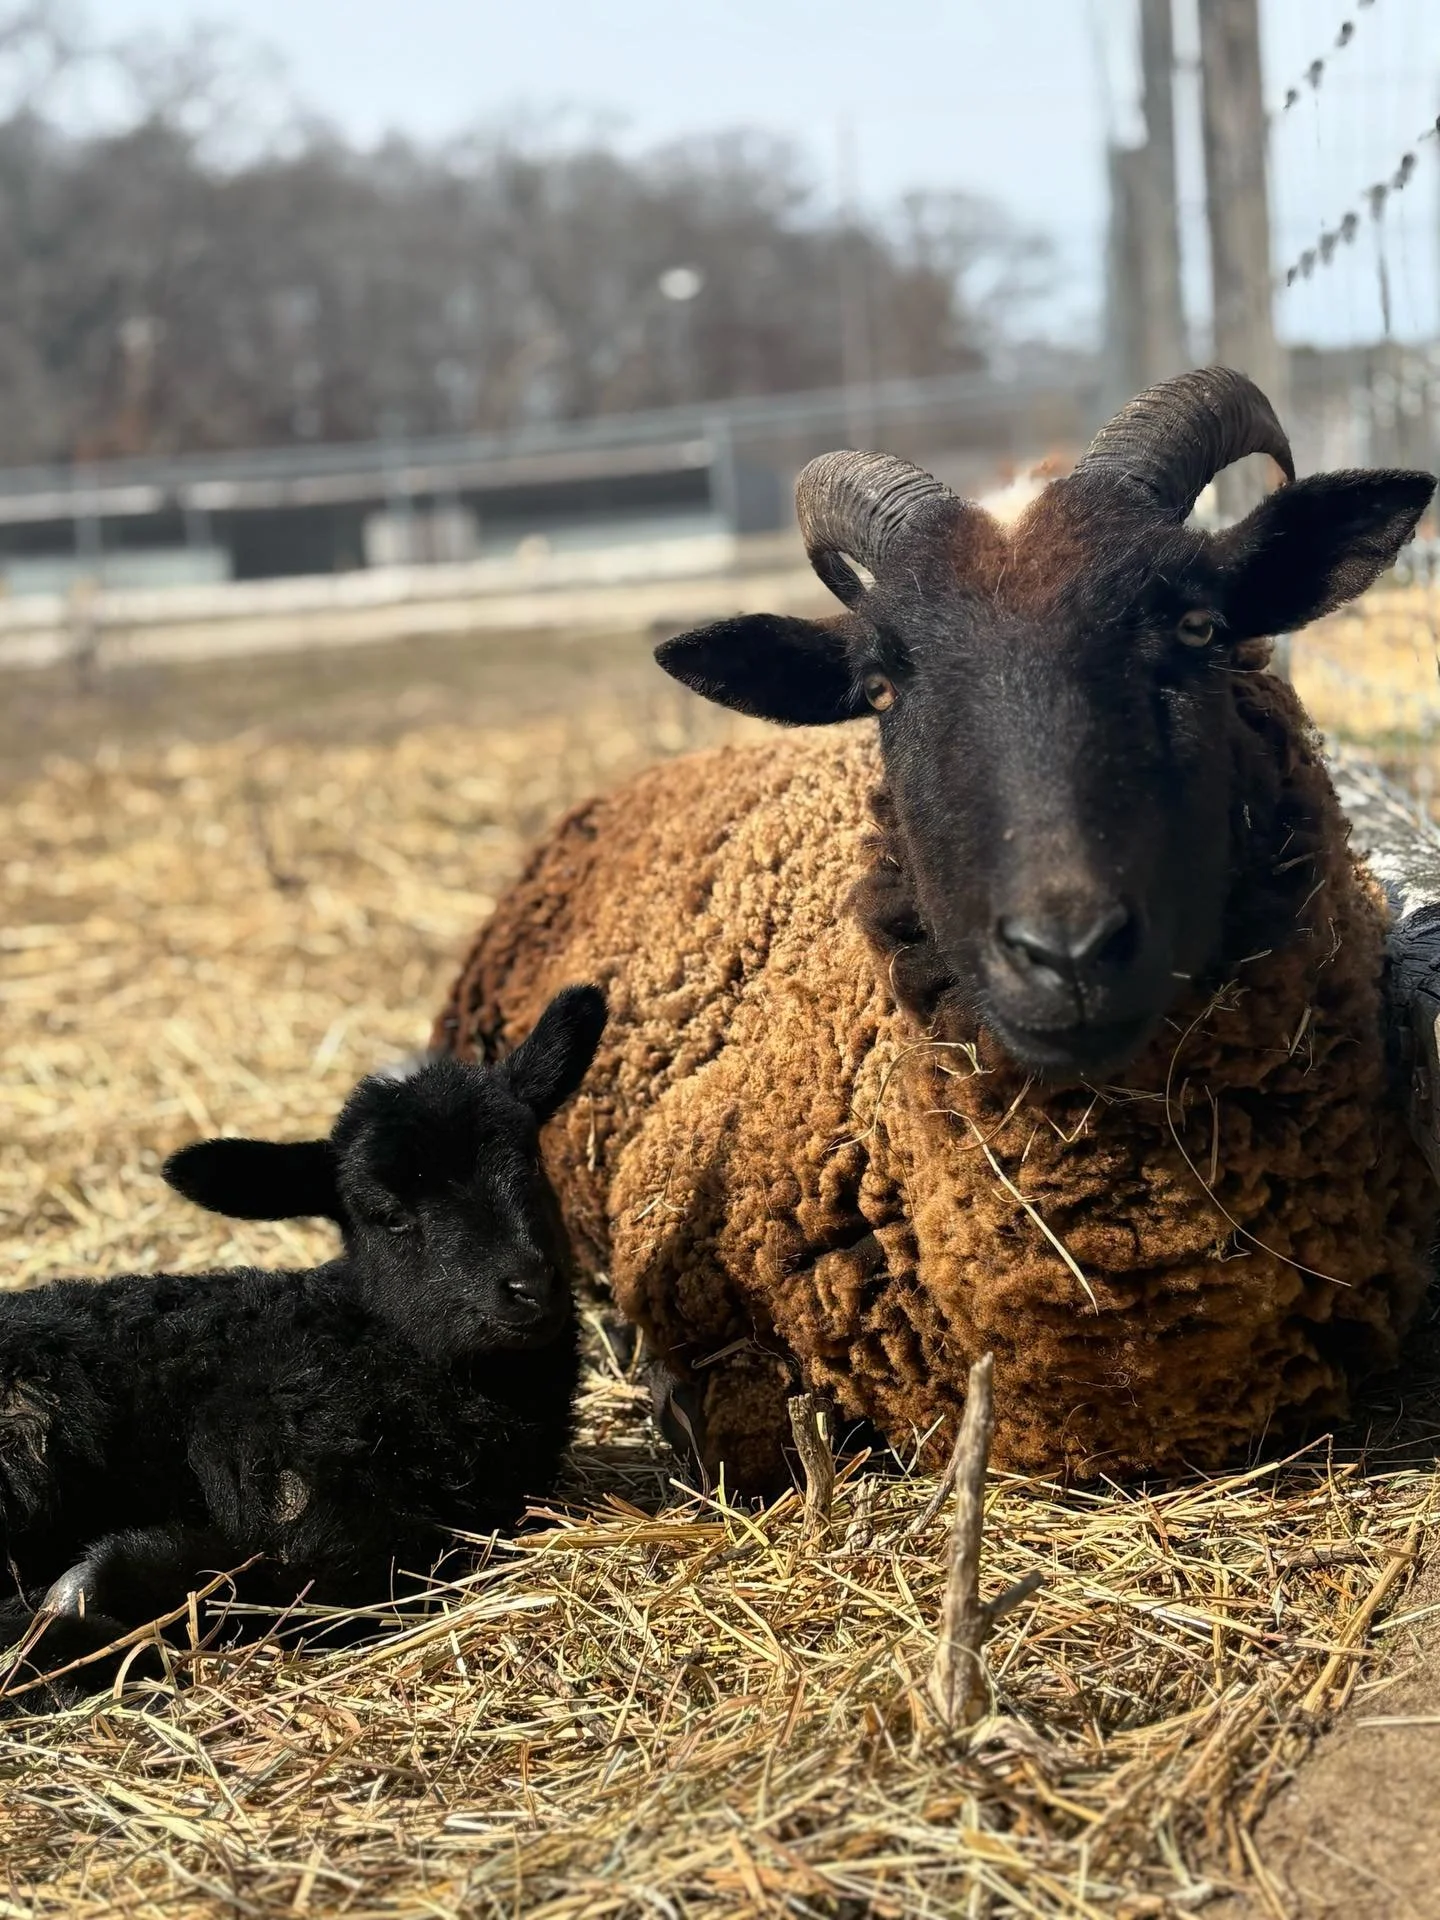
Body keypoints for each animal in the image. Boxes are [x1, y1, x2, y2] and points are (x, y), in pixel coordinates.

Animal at [0, 984, 606, 1688]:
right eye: (388, 1215)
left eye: (532, 1162)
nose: (531, 1288)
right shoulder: (266, 1442)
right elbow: (335, 1563)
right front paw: (111, 1581)